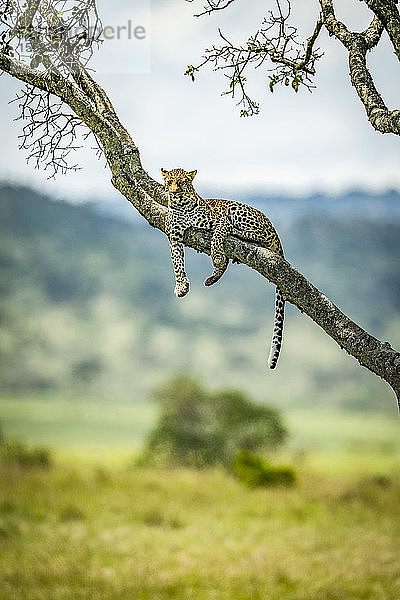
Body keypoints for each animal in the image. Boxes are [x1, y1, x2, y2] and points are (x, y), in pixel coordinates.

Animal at [162, 166, 284, 368]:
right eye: (169, 181)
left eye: (182, 182)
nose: (174, 192)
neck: (182, 206)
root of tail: (274, 229)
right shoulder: (175, 236)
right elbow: (177, 262)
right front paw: (181, 286)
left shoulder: (220, 221)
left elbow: (217, 236)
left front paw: (217, 256)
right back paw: (213, 277)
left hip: (238, 211)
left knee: (257, 234)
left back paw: (237, 235)